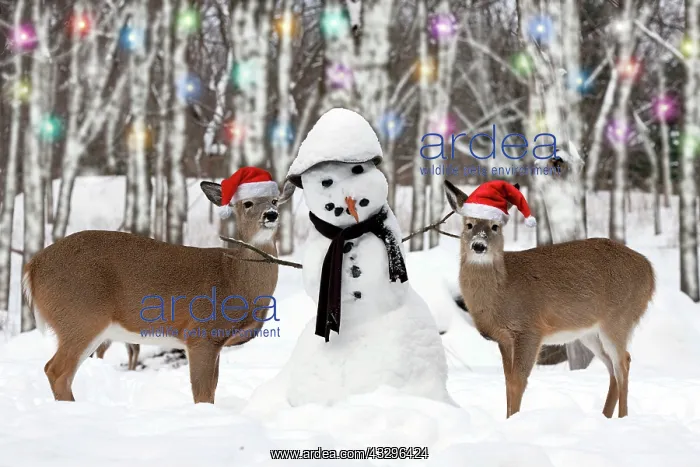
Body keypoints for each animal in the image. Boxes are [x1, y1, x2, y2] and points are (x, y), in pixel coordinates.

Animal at [22, 167, 284, 404]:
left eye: (275, 200)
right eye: (247, 203)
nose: (271, 214)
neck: (234, 276)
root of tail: (32, 267)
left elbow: (212, 391)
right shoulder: (201, 333)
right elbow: (202, 395)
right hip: (80, 315)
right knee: (56, 370)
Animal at [443, 179, 655, 419]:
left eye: (495, 226)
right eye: (468, 225)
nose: (479, 245)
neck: (502, 292)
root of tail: (650, 271)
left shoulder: (530, 329)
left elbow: (517, 382)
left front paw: (513, 419)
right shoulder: (504, 339)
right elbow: (507, 382)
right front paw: (507, 418)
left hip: (619, 318)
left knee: (623, 363)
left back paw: (622, 417)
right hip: (590, 332)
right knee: (611, 367)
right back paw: (605, 416)